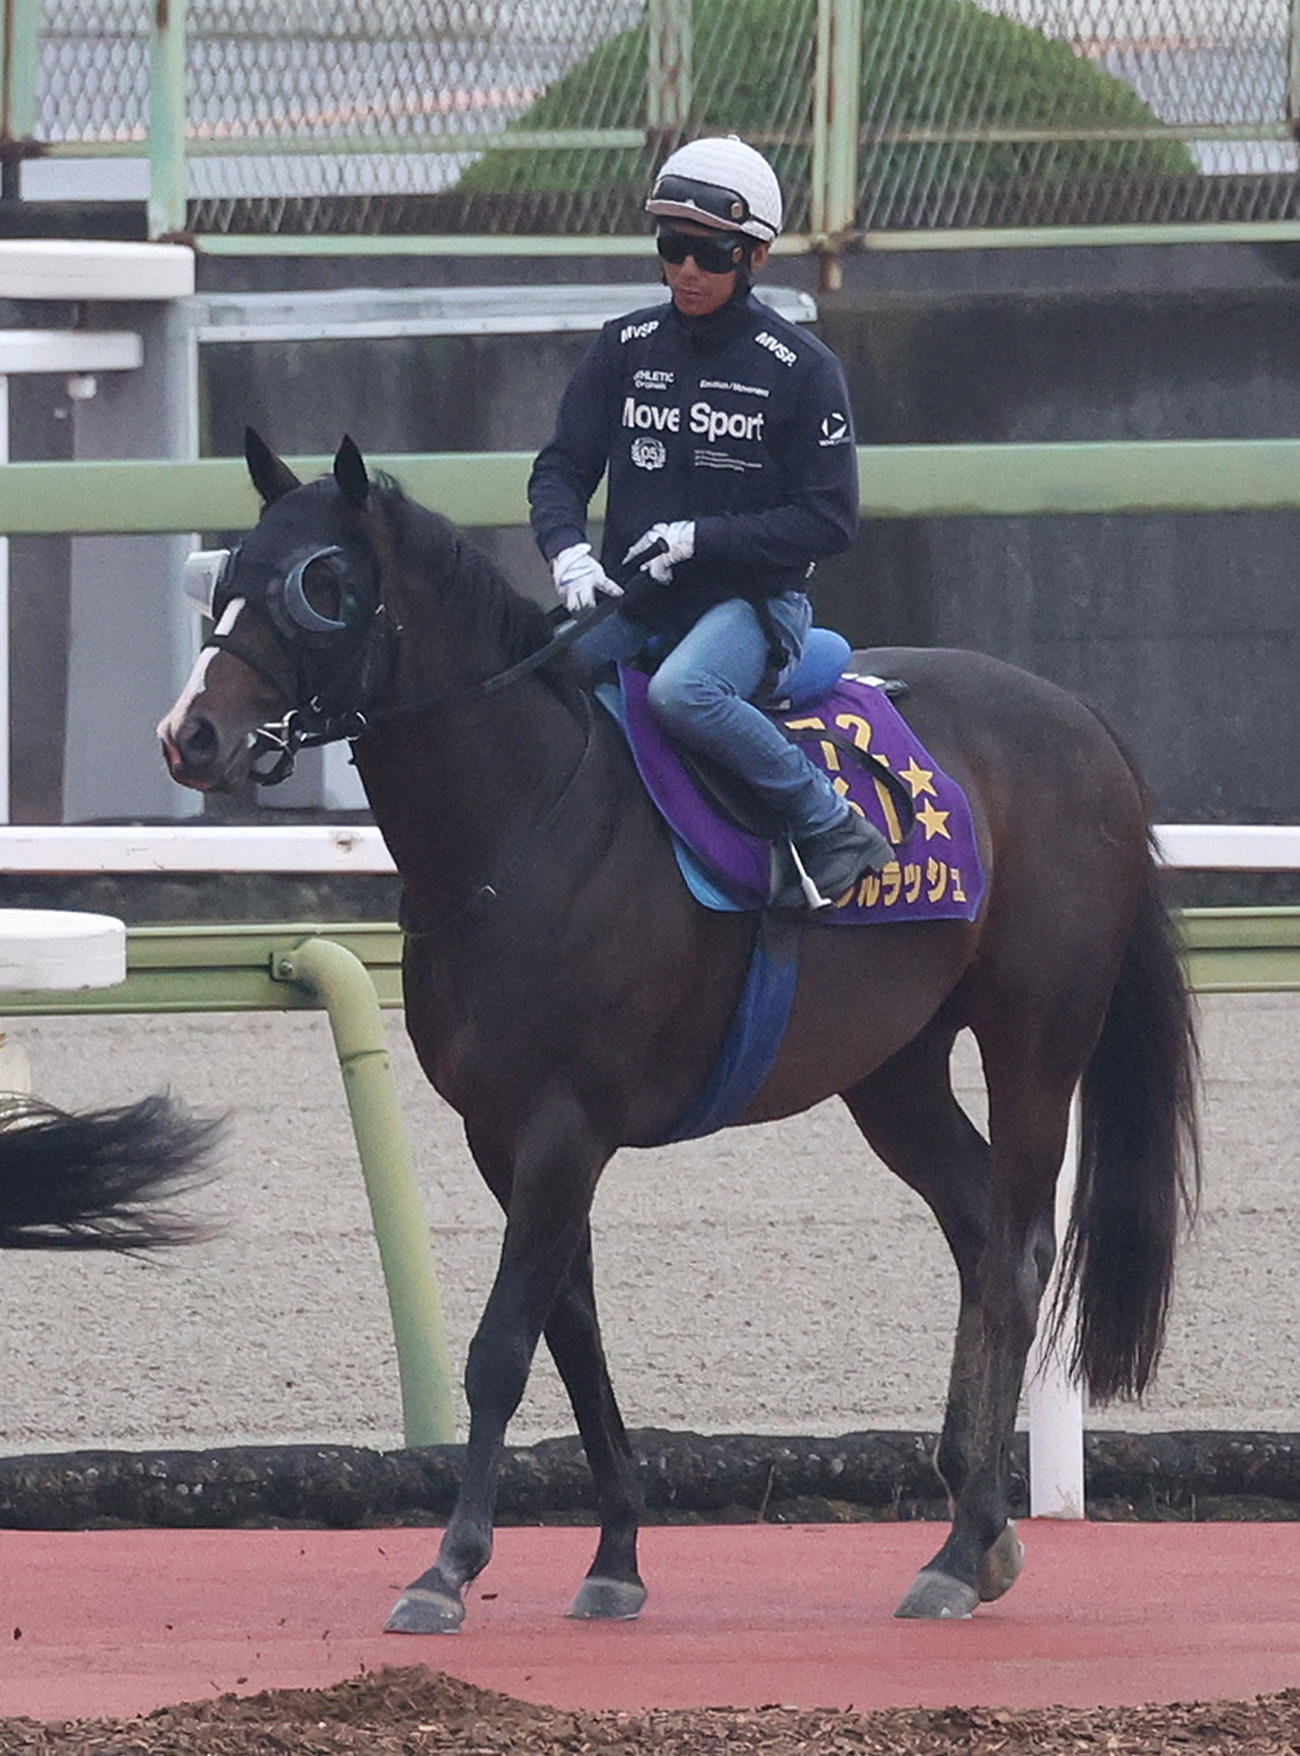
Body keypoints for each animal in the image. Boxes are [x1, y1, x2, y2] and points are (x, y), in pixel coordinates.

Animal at [158, 430, 1200, 1632]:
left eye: (320, 585)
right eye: (225, 578)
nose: (190, 734)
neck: (523, 822)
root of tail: (1081, 720)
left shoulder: (566, 1127)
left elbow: (504, 1347)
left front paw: (448, 1565)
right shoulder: (501, 1133)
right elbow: (572, 1335)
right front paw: (614, 1553)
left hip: (1035, 1037)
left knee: (1018, 1255)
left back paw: (961, 1539)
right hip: (893, 1068)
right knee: (979, 1233)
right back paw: (975, 1528)